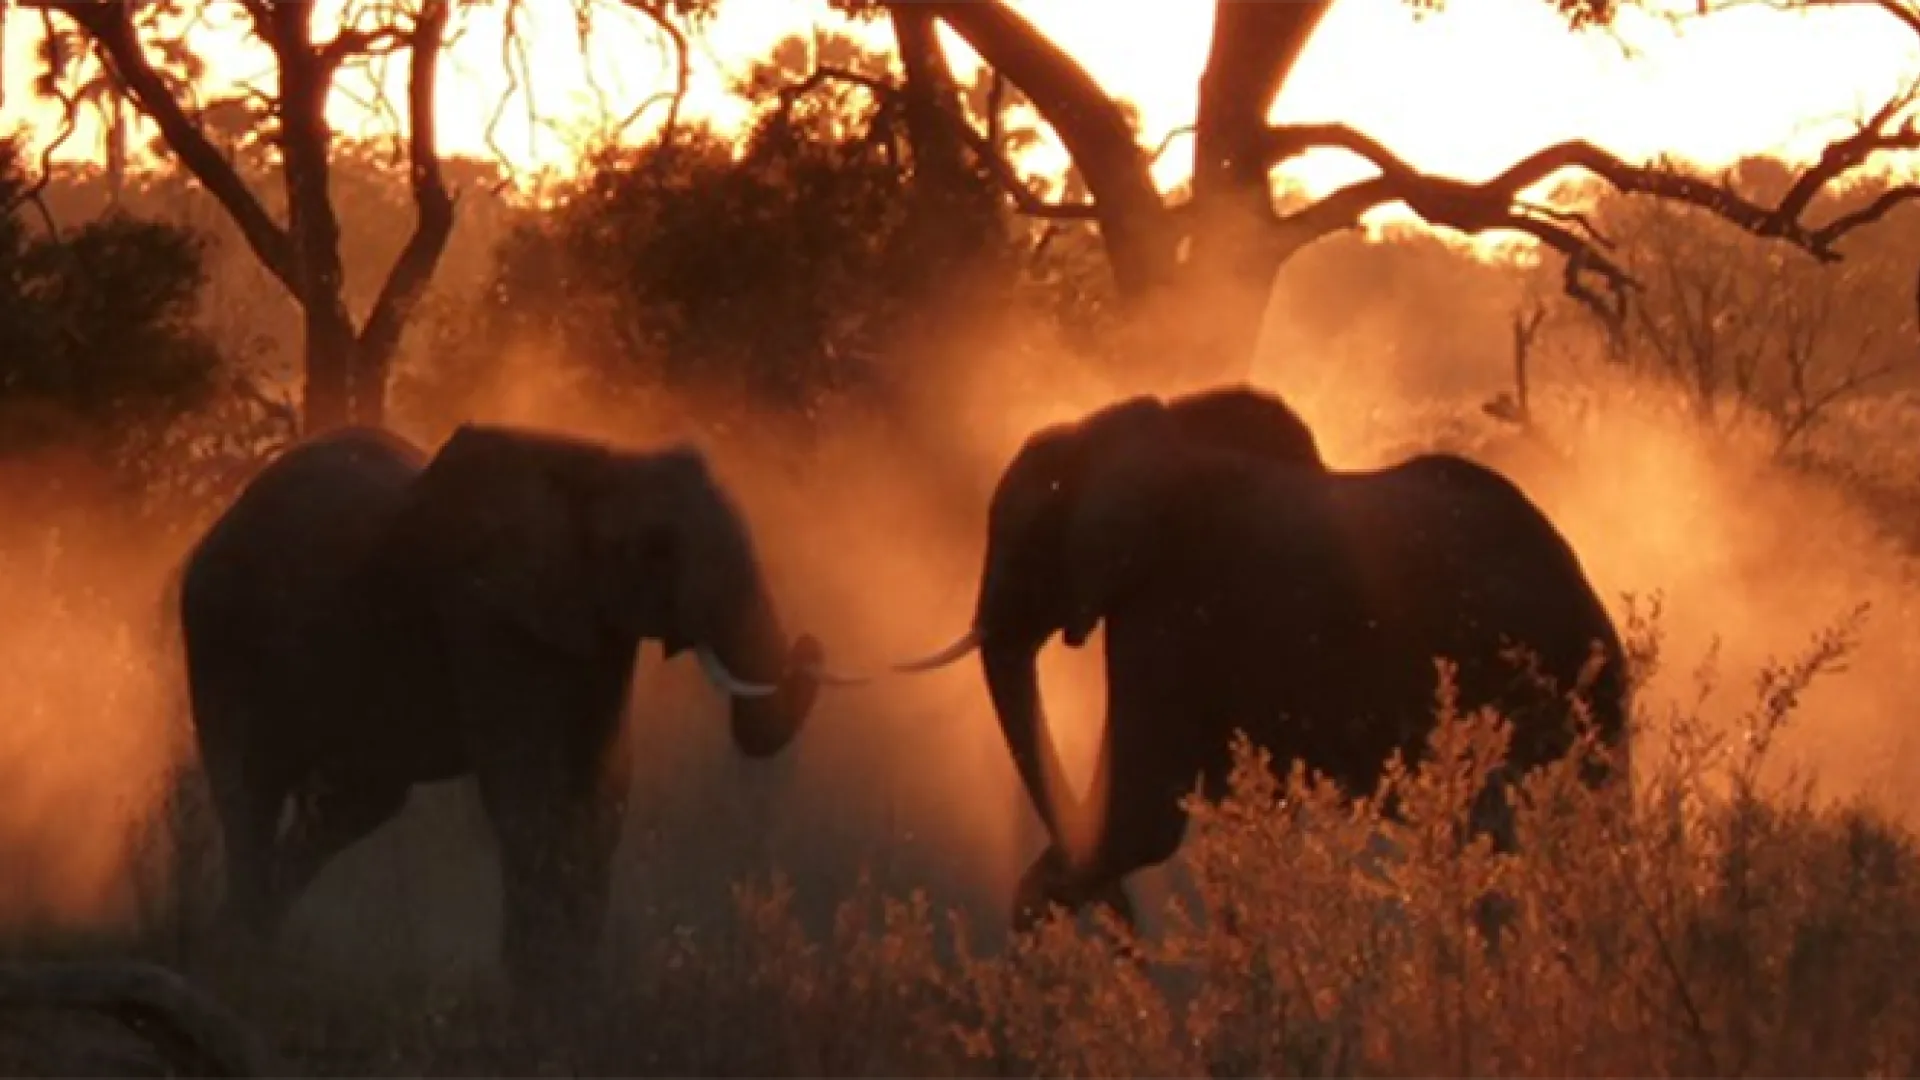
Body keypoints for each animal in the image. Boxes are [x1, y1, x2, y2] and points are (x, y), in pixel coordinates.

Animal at [178, 422, 857, 995]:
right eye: (658, 549)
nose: (811, 644)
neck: (599, 463)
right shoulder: (489, 615)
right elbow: (529, 789)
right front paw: (536, 986)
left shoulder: (591, 627)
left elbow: (600, 791)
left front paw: (572, 990)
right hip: (222, 628)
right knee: (250, 784)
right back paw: (239, 953)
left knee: (350, 807)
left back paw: (248, 934)